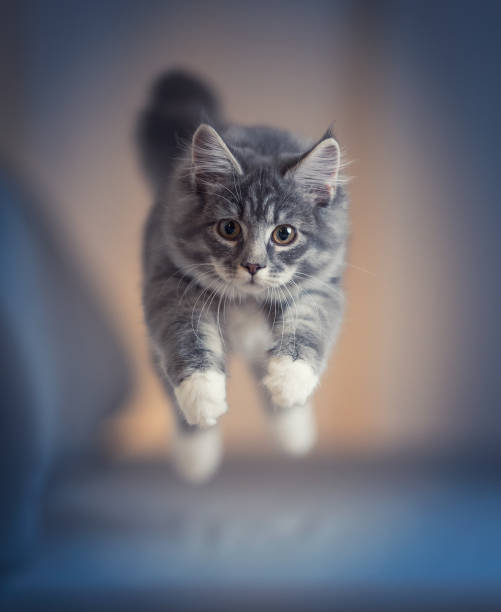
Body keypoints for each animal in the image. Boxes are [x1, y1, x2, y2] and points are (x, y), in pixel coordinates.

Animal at [137, 71, 348, 482]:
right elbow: (187, 337)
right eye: (229, 229)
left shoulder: (322, 288)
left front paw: (290, 381)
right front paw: (202, 398)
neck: (246, 300)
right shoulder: (168, 282)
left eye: (284, 234)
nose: (253, 265)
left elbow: (307, 326)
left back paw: (293, 430)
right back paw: (195, 456)